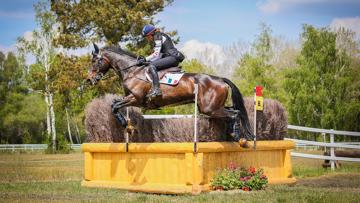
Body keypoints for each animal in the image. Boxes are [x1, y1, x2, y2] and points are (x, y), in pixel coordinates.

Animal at [87, 43, 253, 144]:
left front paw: (127, 126)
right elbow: (114, 104)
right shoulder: (131, 98)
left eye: (94, 61)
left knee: (235, 113)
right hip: (212, 107)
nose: (89, 80)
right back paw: (234, 134)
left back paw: (239, 137)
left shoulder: (136, 98)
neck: (133, 70)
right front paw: (127, 126)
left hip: (209, 109)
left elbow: (114, 105)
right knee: (233, 111)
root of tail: (221, 79)